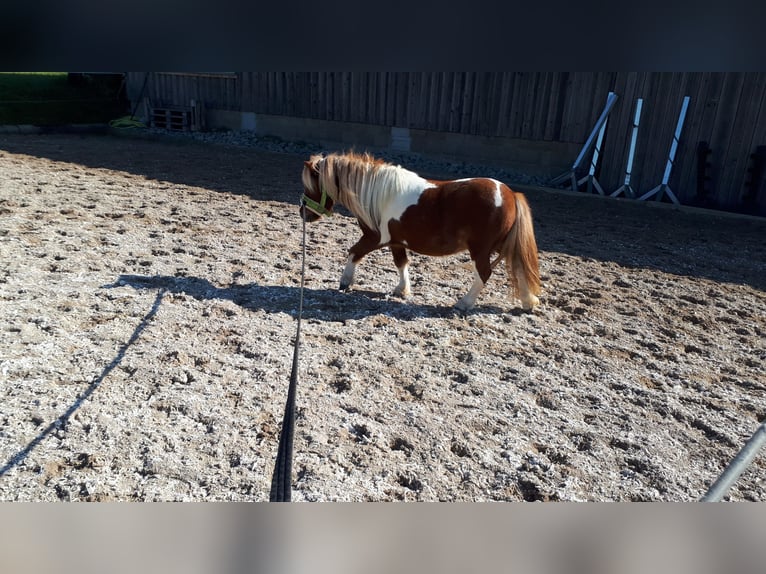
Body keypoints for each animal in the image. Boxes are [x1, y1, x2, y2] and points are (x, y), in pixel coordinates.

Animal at [300, 153, 540, 312]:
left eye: (311, 185)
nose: (303, 212)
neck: (376, 194)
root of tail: (510, 194)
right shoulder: (396, 242)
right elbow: (401, 263)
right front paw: (402, 290)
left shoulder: (374, 238)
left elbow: (353, 253)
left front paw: (345, 282)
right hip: (502, 245)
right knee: (520, 267)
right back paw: (528, 303)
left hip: (480, 250)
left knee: (485, 273)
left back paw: (464, 303)